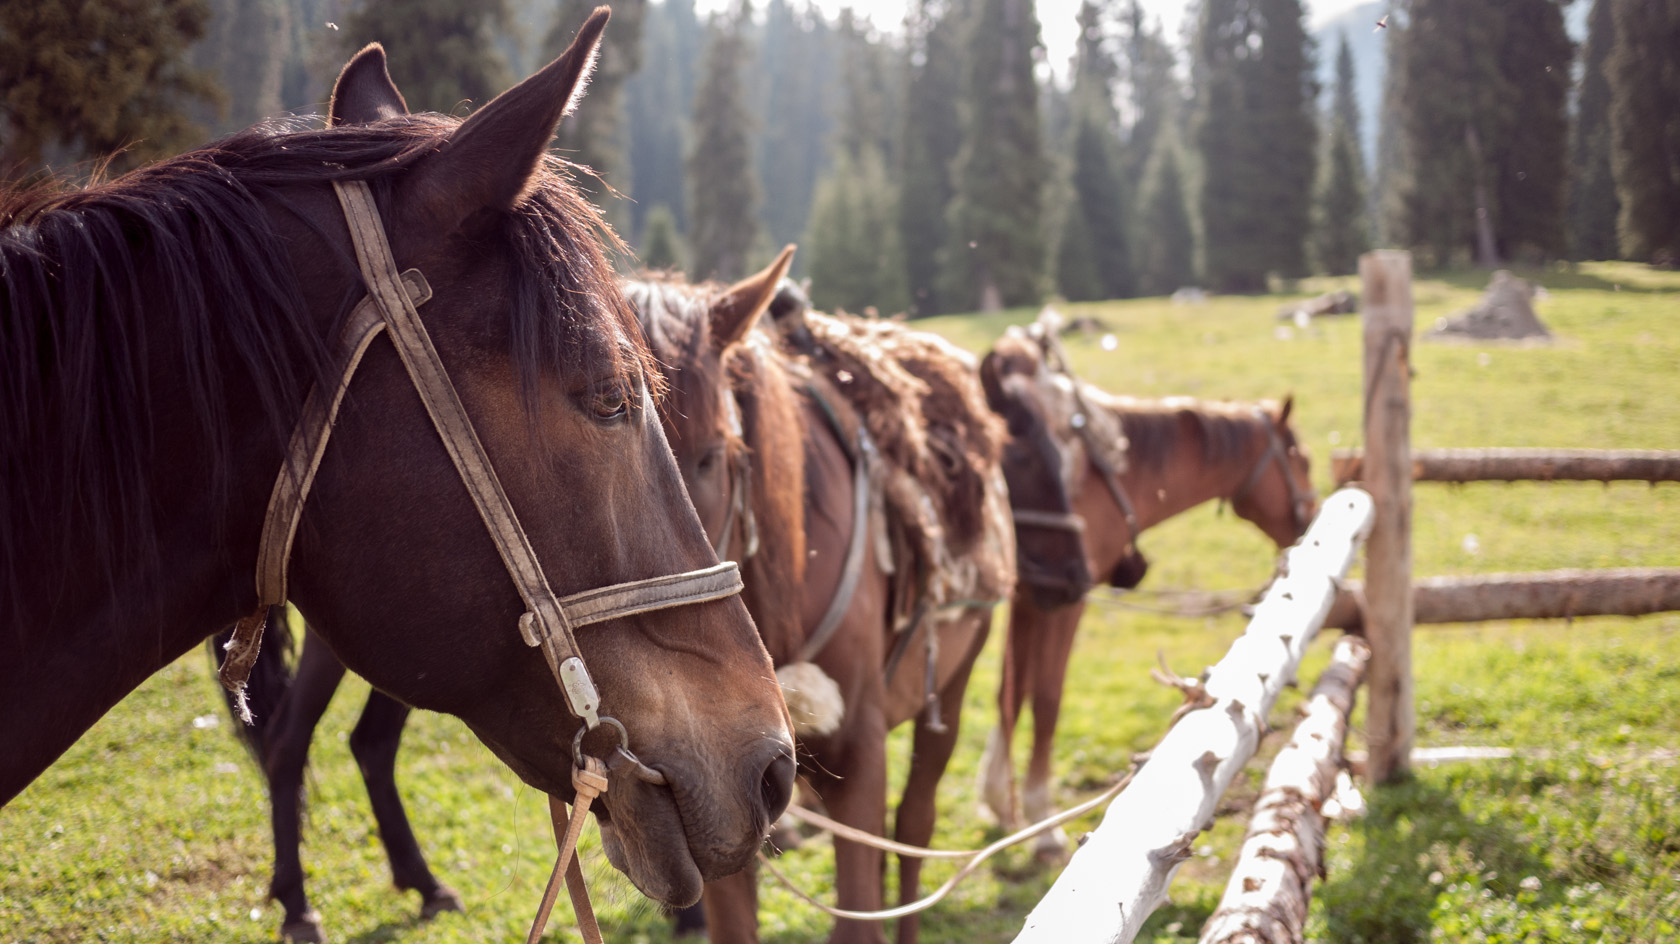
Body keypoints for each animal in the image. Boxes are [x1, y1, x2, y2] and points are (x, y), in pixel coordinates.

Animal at [981, 319, 1317, 856]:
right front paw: (1040, 818)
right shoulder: (1064, 602)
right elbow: (1046, 697)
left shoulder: (1031, 598)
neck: (1106, 471)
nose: (1313, 512)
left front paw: (999, 800)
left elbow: (1010, 694)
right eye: (1300, 457)